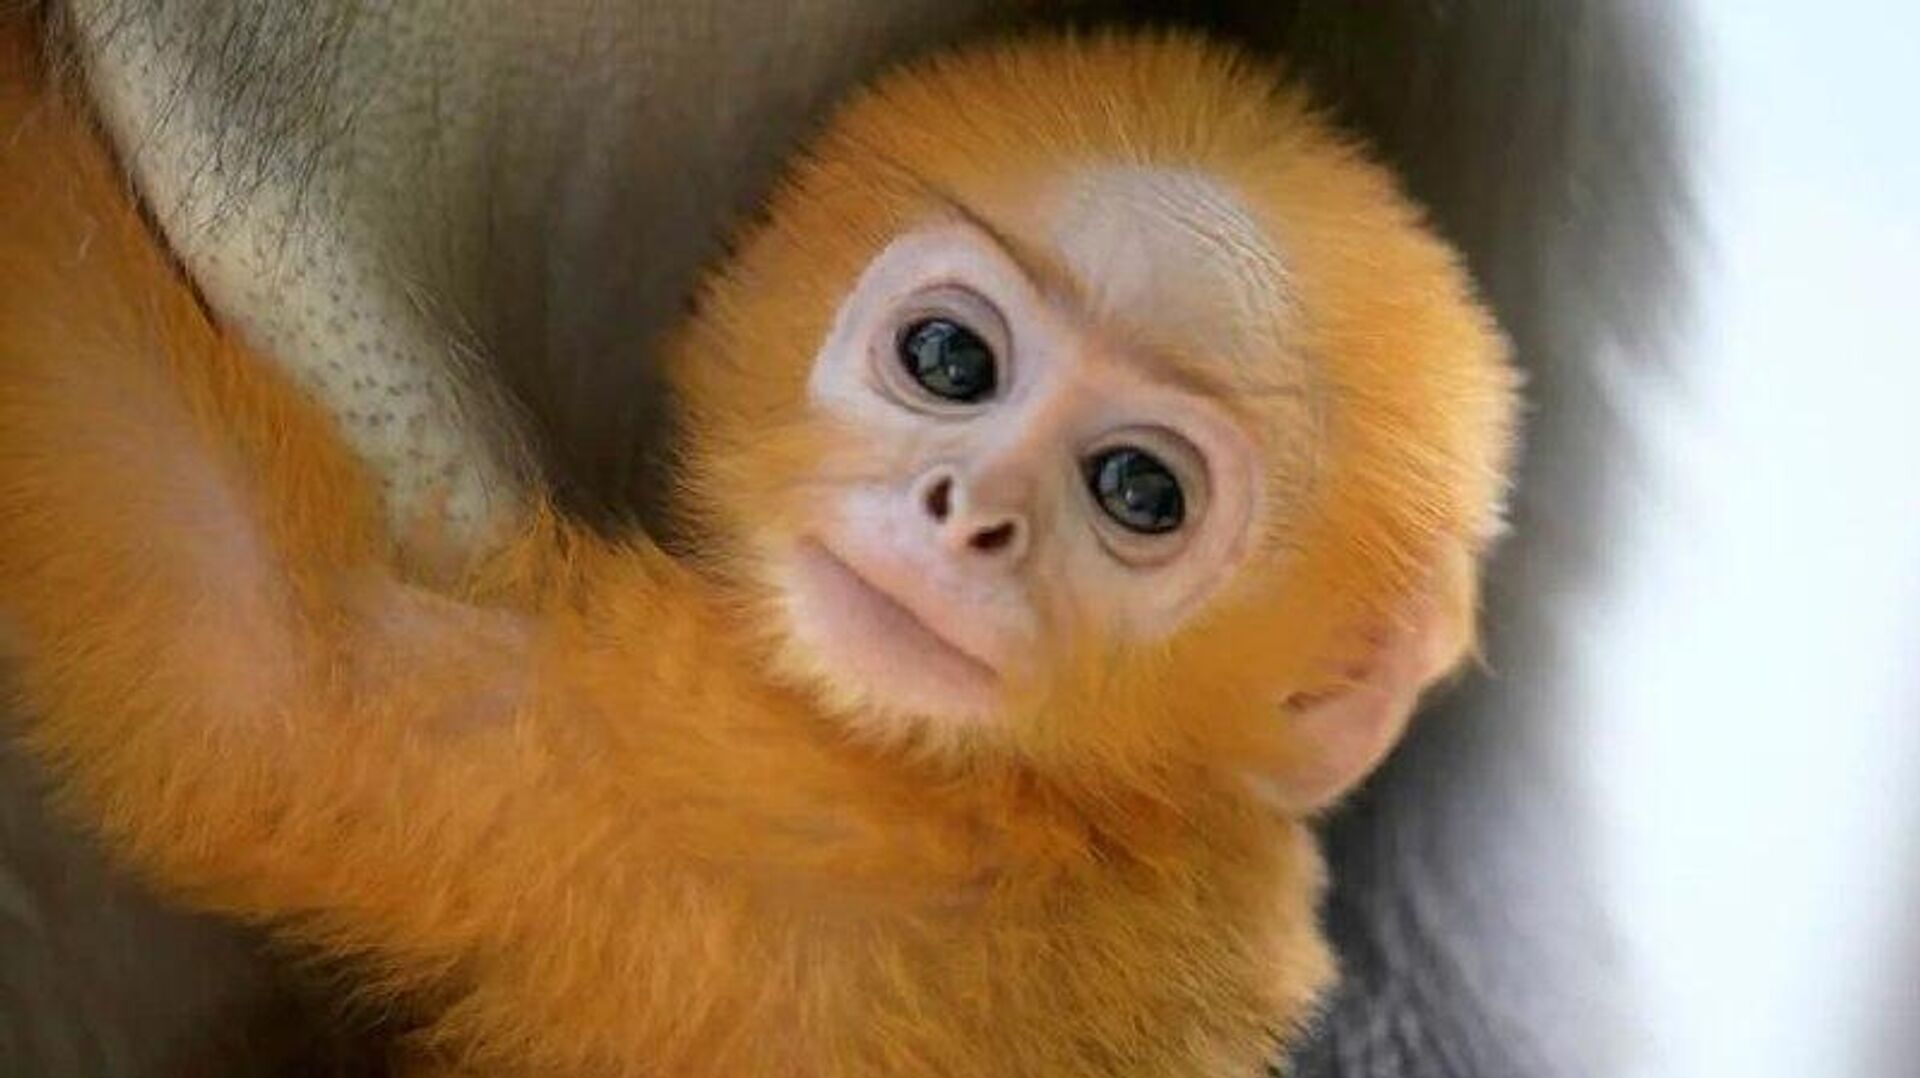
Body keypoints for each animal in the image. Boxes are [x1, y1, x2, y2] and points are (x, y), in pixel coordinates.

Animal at [0, 23, 1519, 1078]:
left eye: (1140, 490)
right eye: (950, 359)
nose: (968, 512)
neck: (1077, 813)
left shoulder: (762, 815)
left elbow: (250, 650)